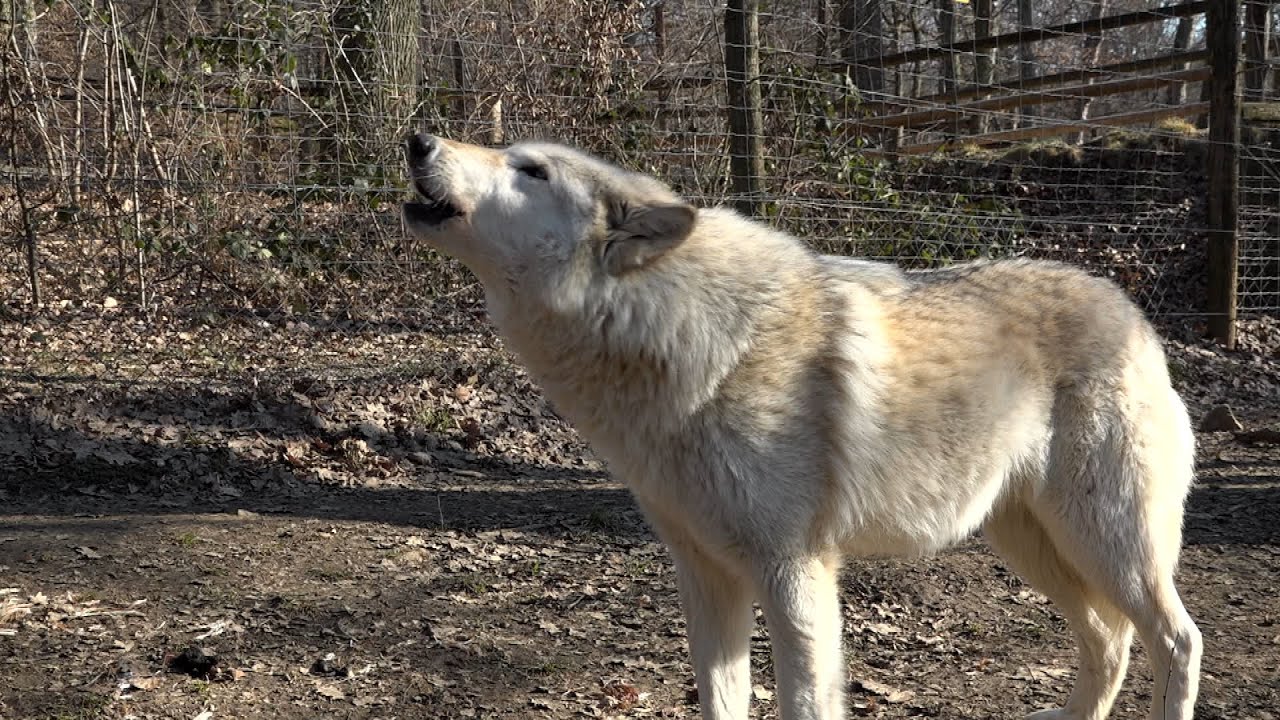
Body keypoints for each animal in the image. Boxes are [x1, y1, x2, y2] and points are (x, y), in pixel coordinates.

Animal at [400, 132, 1201, 720]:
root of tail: (1132, 313)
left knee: (1175, 641)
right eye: (510, 154)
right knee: (1110, 641)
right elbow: (721, 702)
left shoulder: (794, 572)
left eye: (530, 169)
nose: (418, 139)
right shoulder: (705, 575)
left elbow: (805, 700)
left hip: (1107, 544)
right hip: (1034, 543)